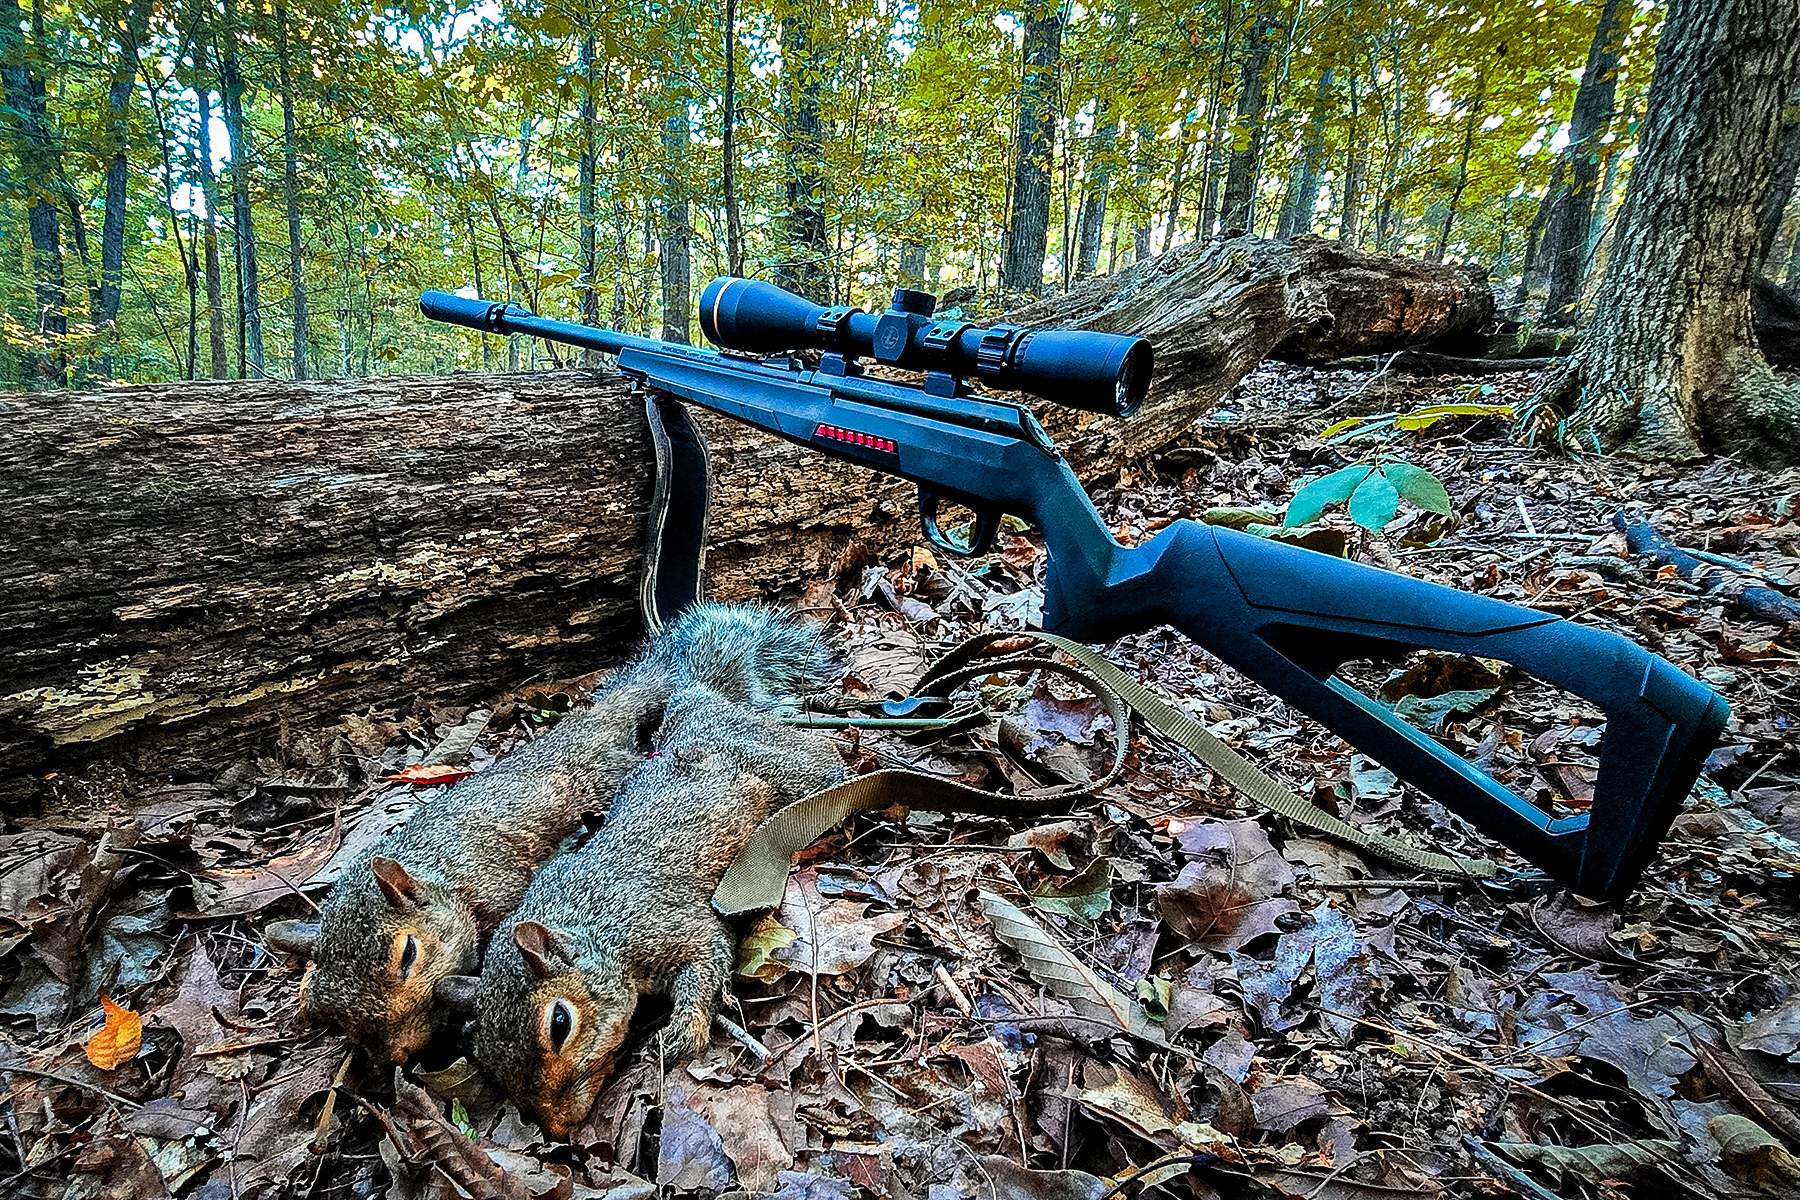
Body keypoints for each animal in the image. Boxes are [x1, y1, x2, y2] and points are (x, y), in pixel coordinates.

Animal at [438, 682, 847, 1137]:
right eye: (486, 1060)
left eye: (560, 1022)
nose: (559, 1128)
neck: (589, 923)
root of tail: (696, 701)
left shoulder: (664, 923)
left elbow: (708, 957)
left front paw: (682, 1031)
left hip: (774, 760)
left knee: (822, 758)